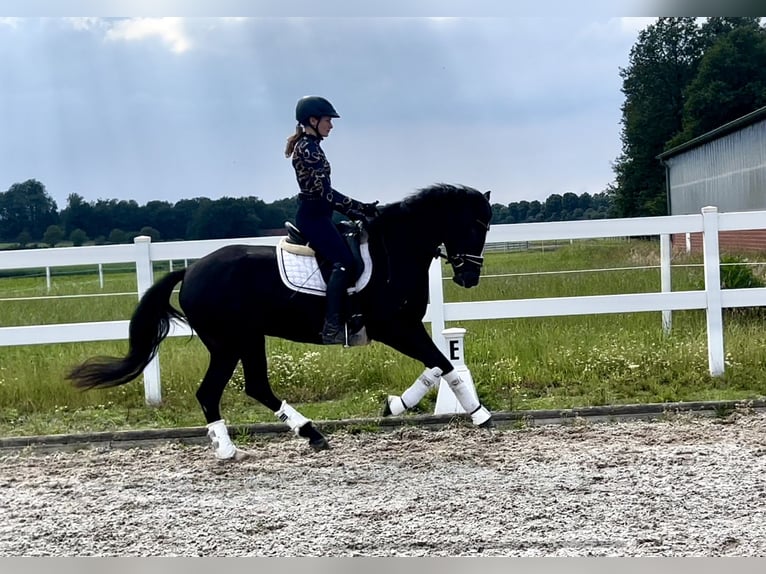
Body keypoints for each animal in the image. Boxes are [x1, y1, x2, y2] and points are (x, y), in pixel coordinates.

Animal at [69, 184, 496, 464]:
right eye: (476, 226)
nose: (469, 277)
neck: (394, 251)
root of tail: (190, 271)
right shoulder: (395, 327)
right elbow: (442, 364)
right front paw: (475, 414)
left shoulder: (404, 327)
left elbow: (439, 365)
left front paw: (400, 405)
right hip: (229, 342)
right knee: (213, 392)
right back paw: (233, 449)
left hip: (247, 339)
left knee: (253, 386)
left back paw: (308, 435)